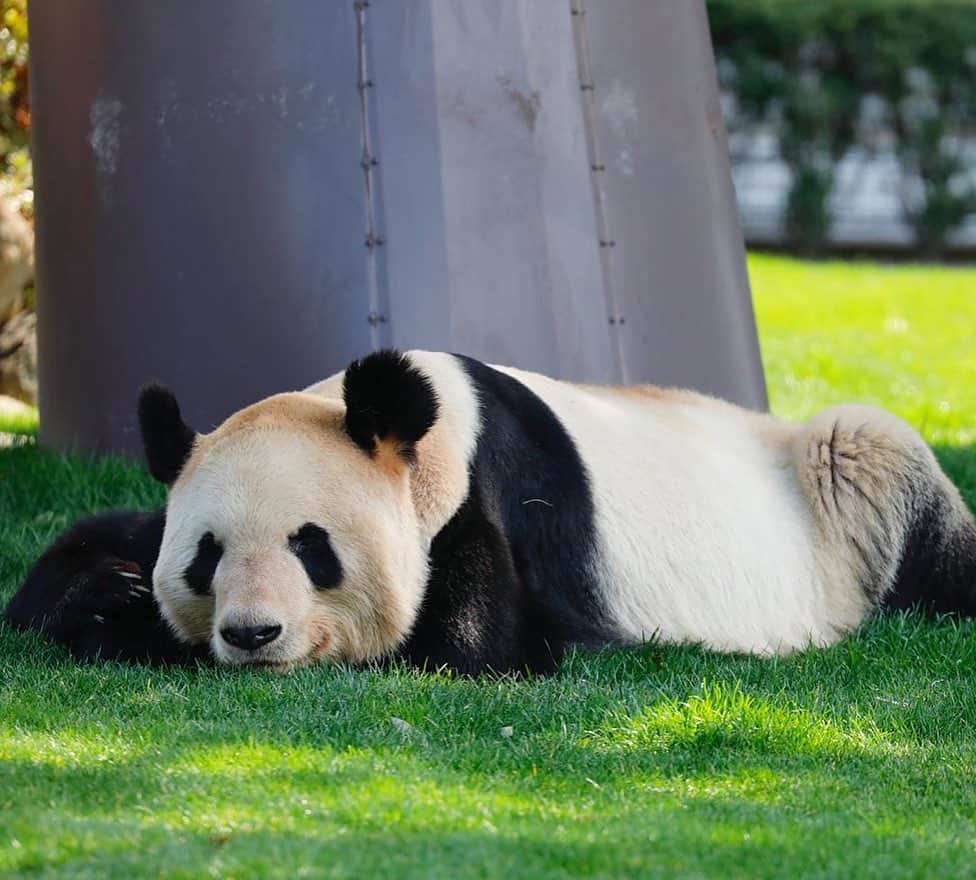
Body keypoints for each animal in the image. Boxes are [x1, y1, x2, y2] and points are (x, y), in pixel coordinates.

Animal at [7, 350, 976, 672]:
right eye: (206, 556)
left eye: (313, 547)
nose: (251, 636)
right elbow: (91, 546)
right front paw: (108, 594)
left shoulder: (491, 505)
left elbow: (468, 648)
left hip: (838, 489)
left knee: (876, 454)